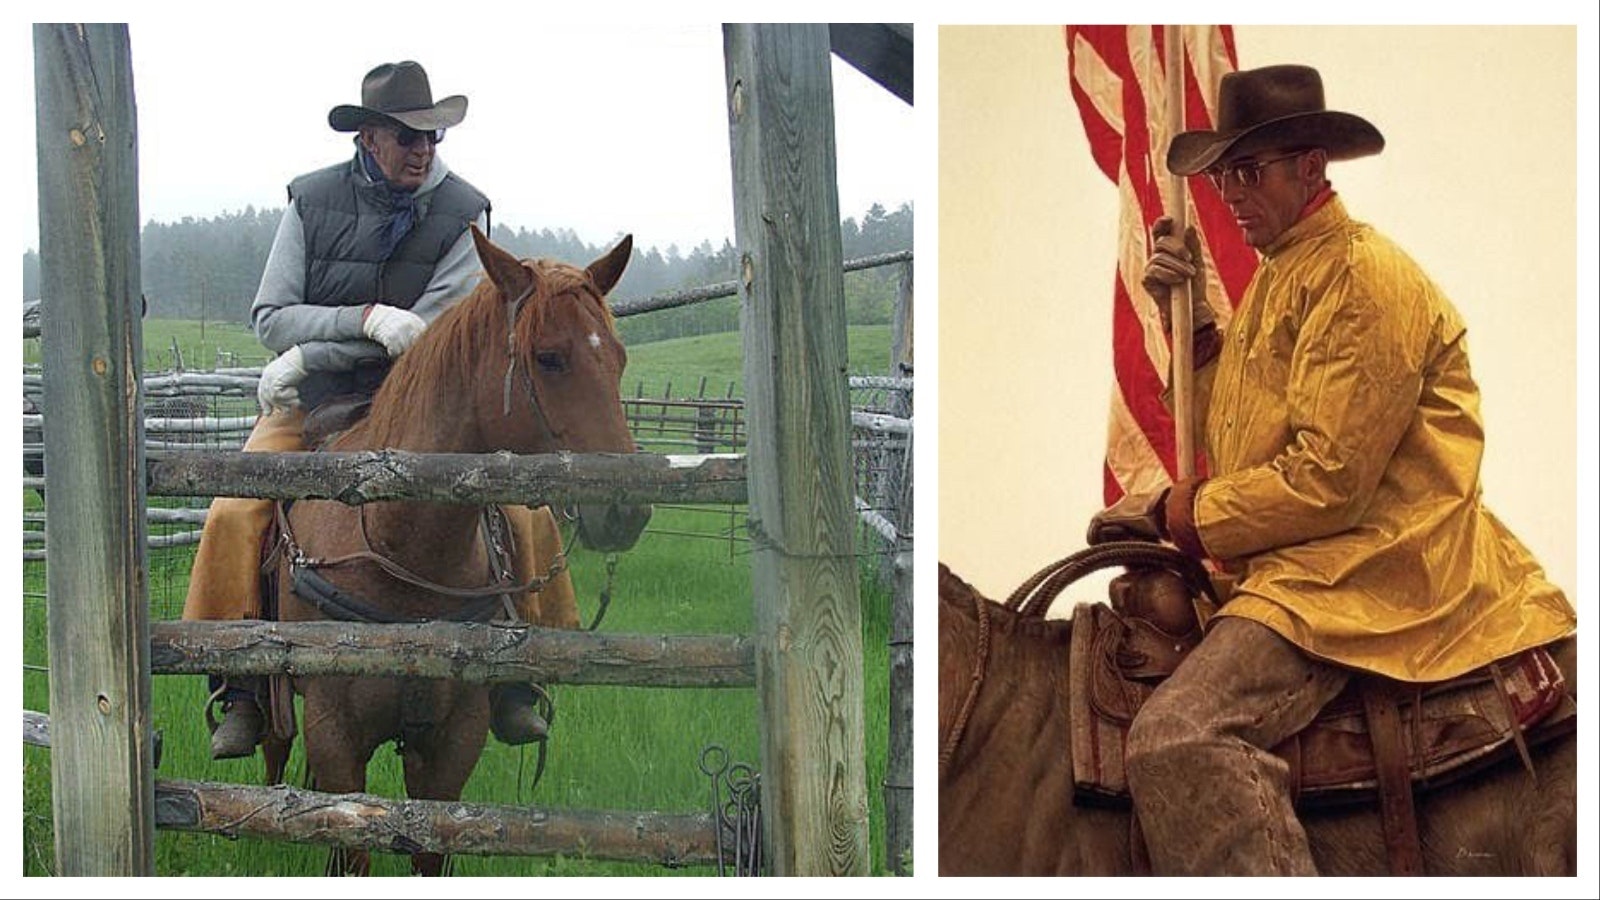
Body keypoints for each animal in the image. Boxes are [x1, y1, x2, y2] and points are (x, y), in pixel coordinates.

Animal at [275, 227, 649, 871]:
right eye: (549, 357)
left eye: (619, 359)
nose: (626, 510)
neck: (401, 547)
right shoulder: (335, 737)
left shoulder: (453, 744)